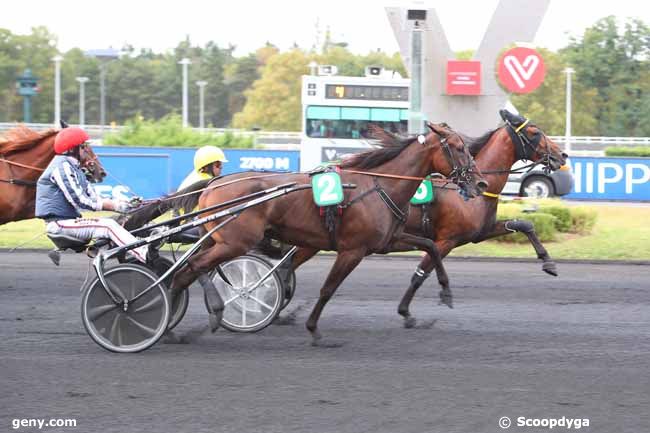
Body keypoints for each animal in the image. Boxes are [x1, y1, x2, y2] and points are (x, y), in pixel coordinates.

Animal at [161, 122, 484, 344]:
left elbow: (430, 246)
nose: (480, 183)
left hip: (217, 240)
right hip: (235, 242)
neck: (379, 185)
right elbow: (328, 288)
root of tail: (213, 184)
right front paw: (314, 329)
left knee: (189, 269)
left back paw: (176, 321)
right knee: (191, 268)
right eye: (458, 147)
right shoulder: (353, 250)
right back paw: (178, 318)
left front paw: (445, 292)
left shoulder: (388, 240)